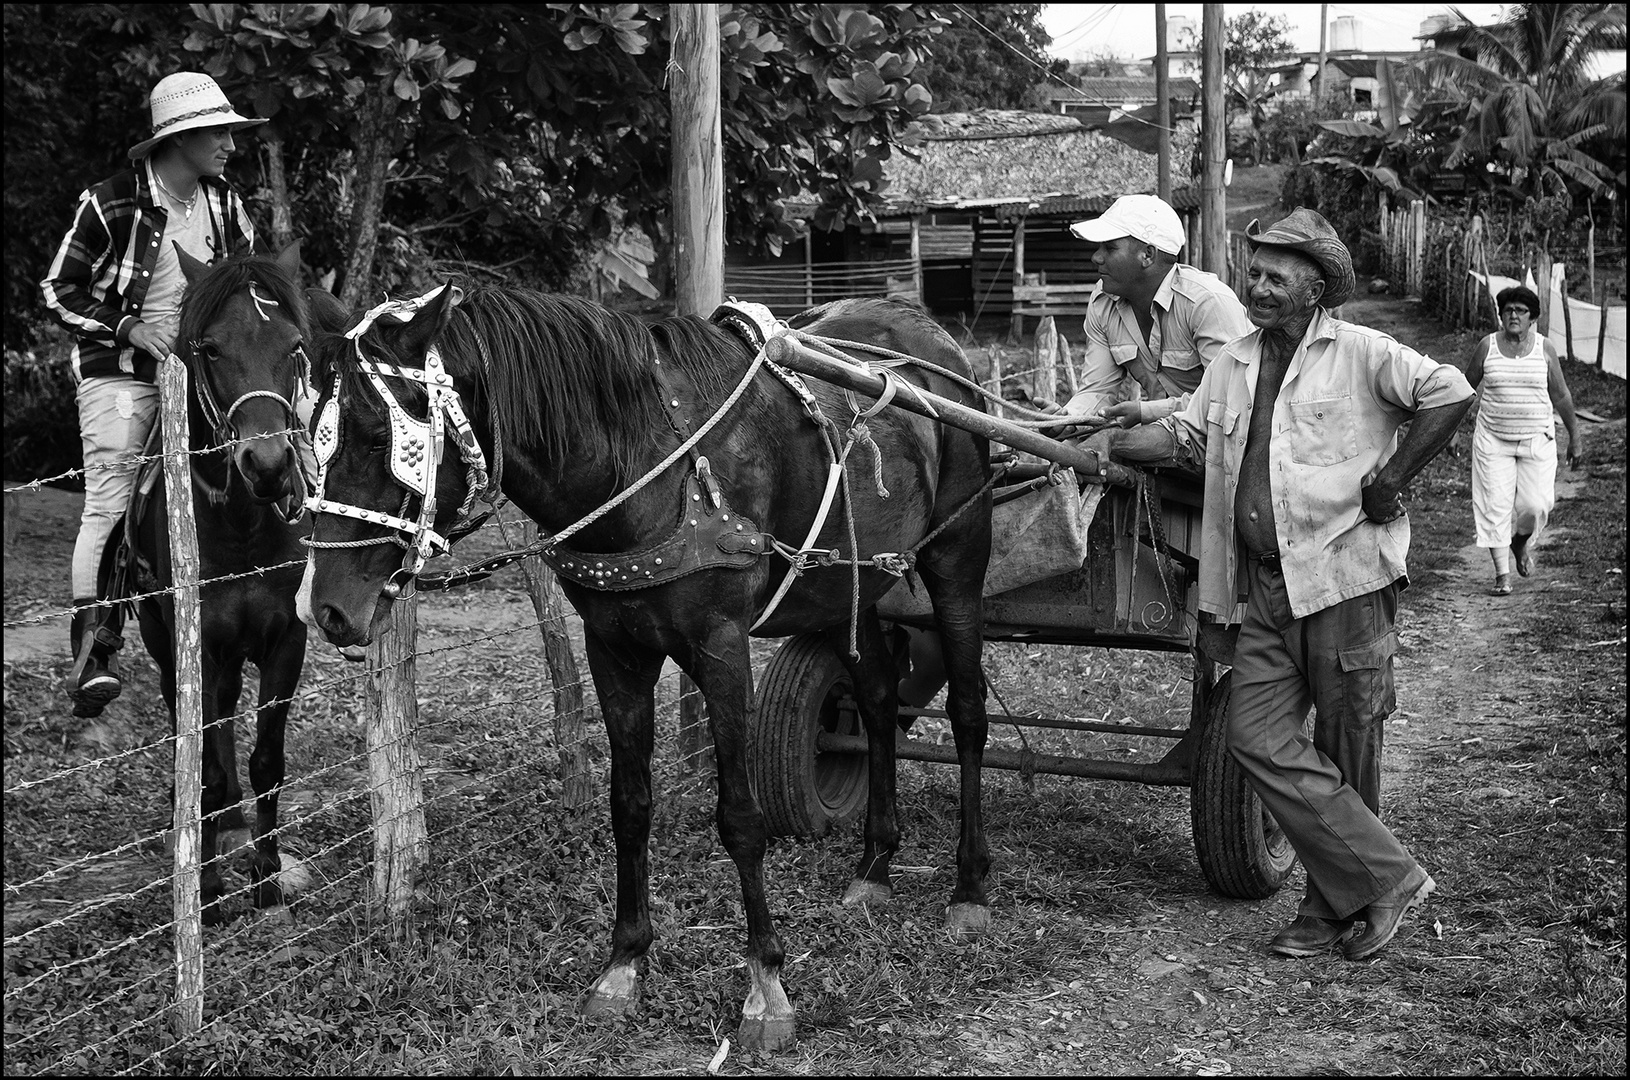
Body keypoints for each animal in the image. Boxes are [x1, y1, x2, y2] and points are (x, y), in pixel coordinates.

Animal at [113, 242, 309, 918]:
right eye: (212, 349)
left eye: (294, 345)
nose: (268, 465)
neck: (242, 526)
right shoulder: (194, 647)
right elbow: (209, 765)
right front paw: (208, 890)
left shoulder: (285, 642)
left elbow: (266, 760)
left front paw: (268, 878)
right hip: (171, 649)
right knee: (193, 737)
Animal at [301, 285, 997, 1049]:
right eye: (316, 436)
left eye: (379, 438)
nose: (324, 609)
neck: (646, 461)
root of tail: (926, 330)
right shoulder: (614, 649)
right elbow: (629, 804)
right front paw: (623, 964)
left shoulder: (721, 646)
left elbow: (740, 817)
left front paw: (767, 986)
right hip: (853, 581)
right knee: (875, 701)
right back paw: (875, 863)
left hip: (958, 558)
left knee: (967, 714)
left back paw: (969, 887)